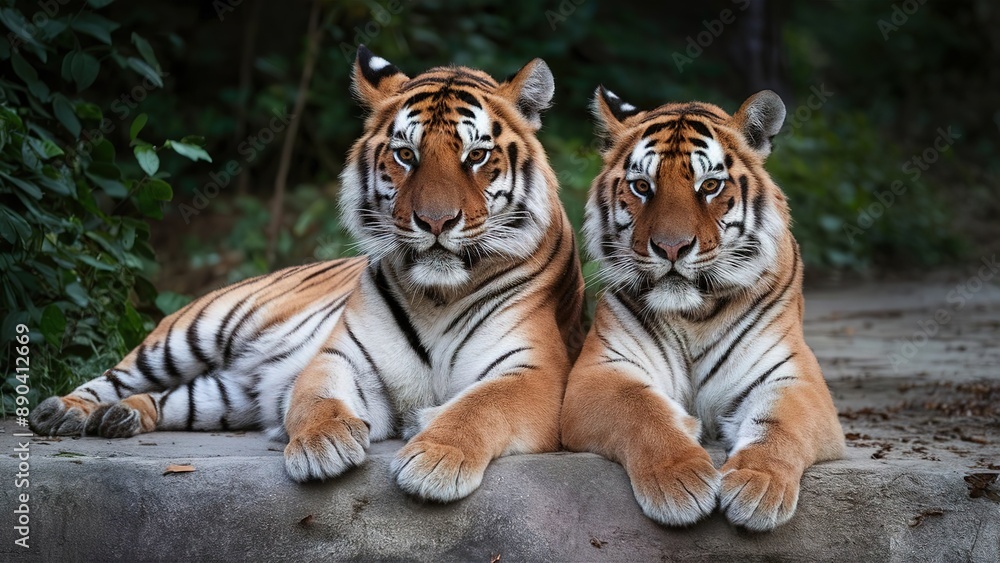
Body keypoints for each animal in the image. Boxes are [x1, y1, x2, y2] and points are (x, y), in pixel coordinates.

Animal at [30, 45, 584, 503]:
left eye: (477, 155)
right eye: (406, 154)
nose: (435, 222)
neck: (438, 295)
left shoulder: (533, 371)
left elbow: (479, 406)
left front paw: (434, 460)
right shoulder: (343, 357)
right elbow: (317, 400)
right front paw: (323, 446)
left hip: (223, 397)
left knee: (169, 398)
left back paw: (122, 416)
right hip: (193, 332)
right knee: (118, 374)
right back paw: (66, 411)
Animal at [559, 87, 844, 531]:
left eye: (709, 185)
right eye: (642, 186)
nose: (671, 247)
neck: (694, 314)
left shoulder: (795, 379)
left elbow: (778, 425)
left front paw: (758, 487)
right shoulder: (599, 372)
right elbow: (641, 409)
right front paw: (681, 482)